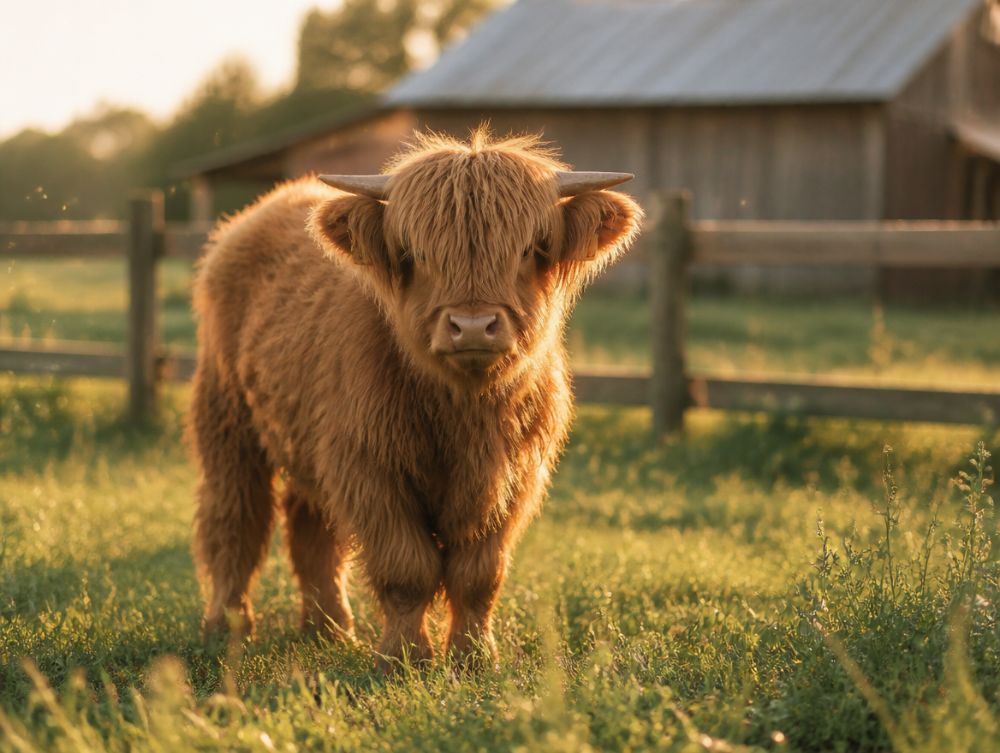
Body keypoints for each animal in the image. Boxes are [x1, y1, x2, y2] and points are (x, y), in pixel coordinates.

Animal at [189, 129, 642, 669]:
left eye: (531, 249)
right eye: (415, 254)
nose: (473, 326)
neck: (463, 413)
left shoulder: (514, 478)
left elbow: (478, 575)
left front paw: (474, 656)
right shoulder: (370, 471)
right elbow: (407, 570)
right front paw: (404, 658)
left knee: (309, 529)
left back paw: (328, 629)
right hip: (226, 417)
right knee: (234, 518)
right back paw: (226, 626)